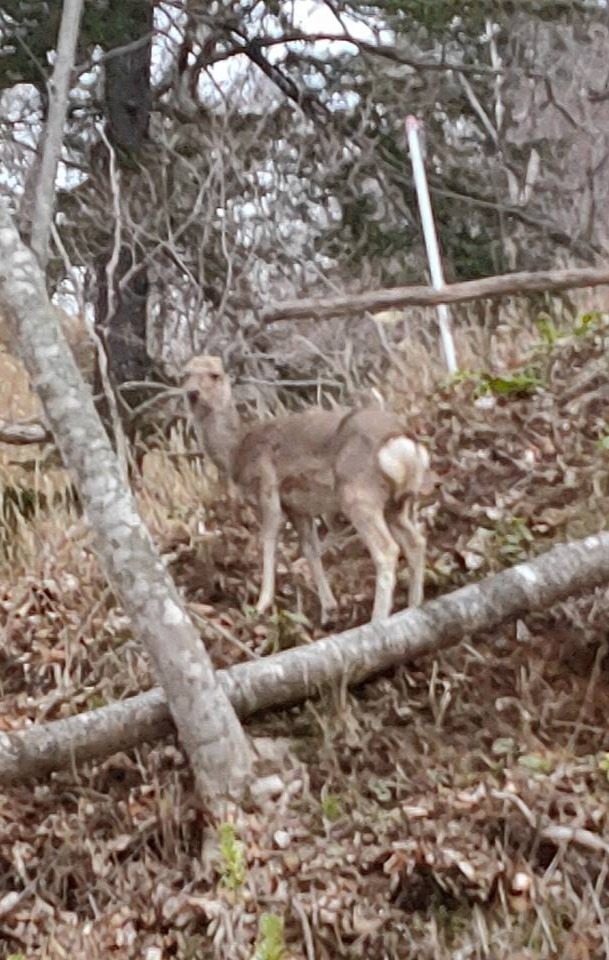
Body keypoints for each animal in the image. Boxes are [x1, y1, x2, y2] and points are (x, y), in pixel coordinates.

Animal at [183, 352, 430, 624]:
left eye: (215, 374)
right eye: (185, 374)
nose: (192, 393)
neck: (236, 452)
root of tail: (403, 442)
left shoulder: (267, 489)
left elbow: (268, 541)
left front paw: (261, 604)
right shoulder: (298, 508)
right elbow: (310, 549)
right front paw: (328, 609)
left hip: (357, 493)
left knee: (386, 549)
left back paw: (378, 618)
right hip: (398, 502)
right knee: (416, 541)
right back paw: (413, 606)